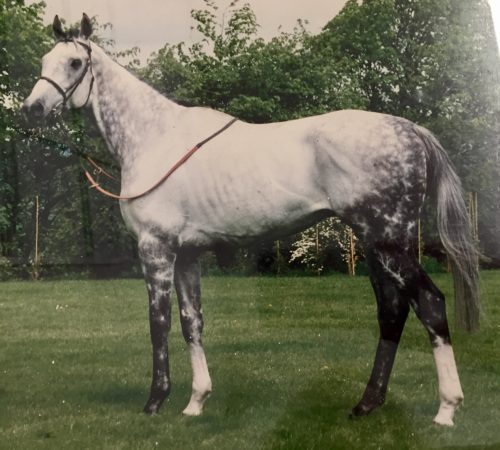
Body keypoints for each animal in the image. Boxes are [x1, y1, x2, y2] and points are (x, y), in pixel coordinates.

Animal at [23, 15, 480, 428]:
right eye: (45, 59)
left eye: (74, 63)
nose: (32, 109)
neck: (154, 138)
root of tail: (411, 130)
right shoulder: (187, 255)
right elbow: (192, 322)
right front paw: (196, 402)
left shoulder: (156, 249)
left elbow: (159, 323)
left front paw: (156, 401)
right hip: (375, 245)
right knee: (392, 312)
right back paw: (366, 404)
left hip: (389, 243)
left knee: (429, 304)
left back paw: (446, 408)